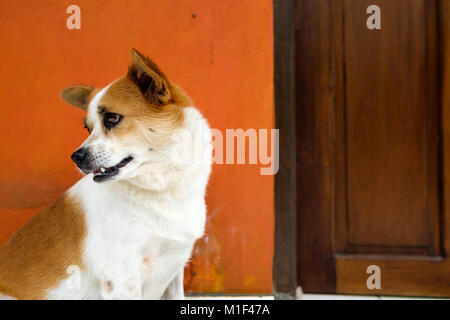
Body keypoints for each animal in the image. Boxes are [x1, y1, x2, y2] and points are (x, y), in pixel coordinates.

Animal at [0, 48, 213, 298]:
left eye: (112, 118)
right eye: (88, 128)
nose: (76, 157)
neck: (164, 190)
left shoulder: (174, 270)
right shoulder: (121, 280)